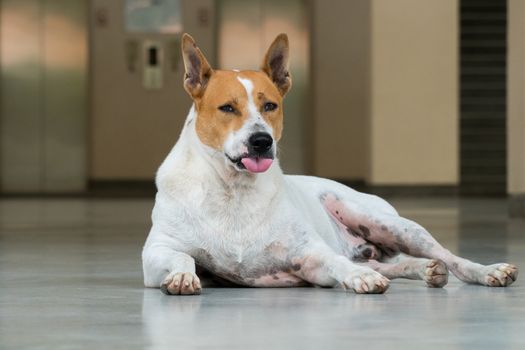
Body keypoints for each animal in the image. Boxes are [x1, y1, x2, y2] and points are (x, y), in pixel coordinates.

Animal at [141, 33, 516, 296]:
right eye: (227, 108)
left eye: (270, 106)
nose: (261, 141)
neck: (233, 189)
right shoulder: (156, 252)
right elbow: (181, 257)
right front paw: (182, 275)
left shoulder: (310, 255)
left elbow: (334, 262)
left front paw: (360, 276)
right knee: (393, 263)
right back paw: (423, 270)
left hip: (388, 223)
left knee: (449, 256)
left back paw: (486, 270)